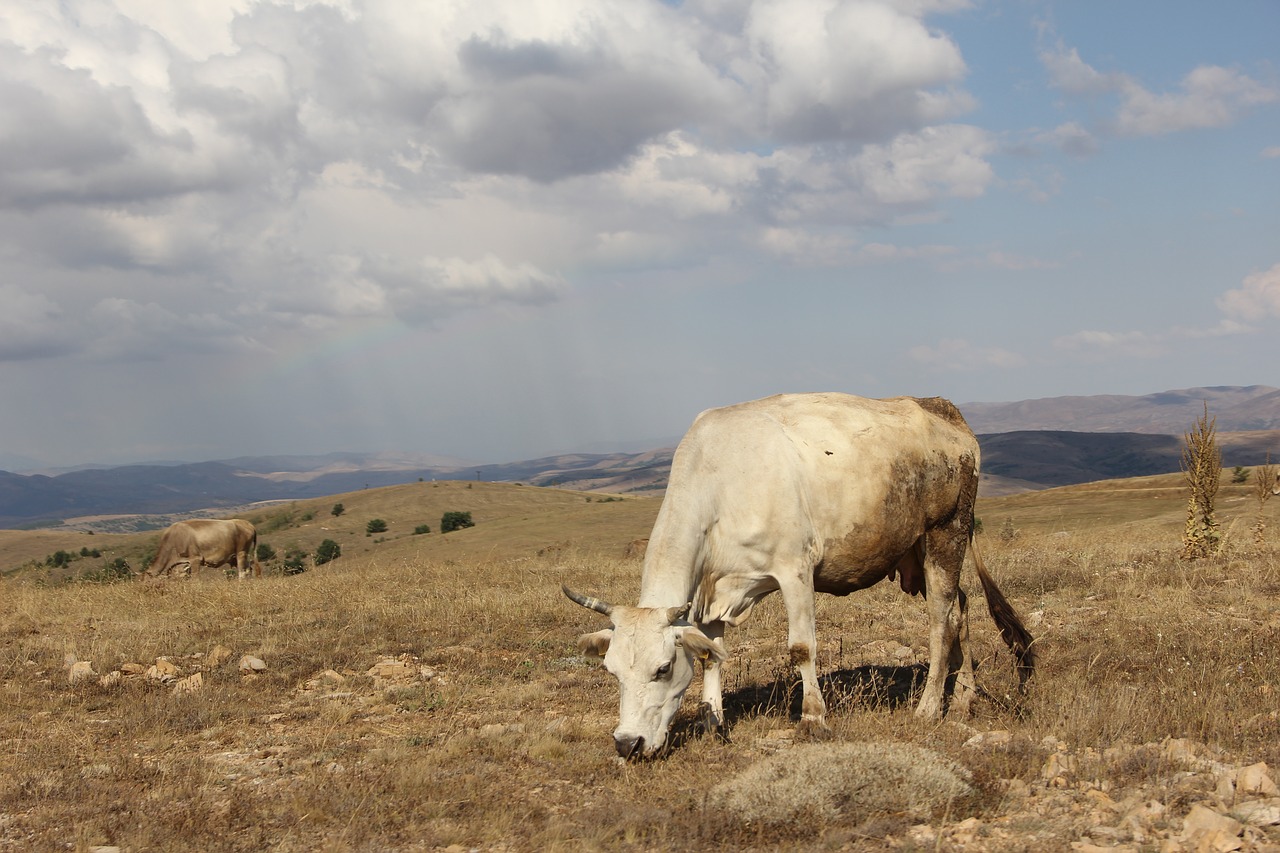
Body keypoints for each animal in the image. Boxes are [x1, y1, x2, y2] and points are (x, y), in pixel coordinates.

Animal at [565, 391, 1034, 758]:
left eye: (662, 669)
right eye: (611, 672)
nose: (628, 744)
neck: (720, 481)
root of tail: (942, 407)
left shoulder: (794, 569)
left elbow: (802, 648)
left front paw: (812, 718)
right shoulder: (717, 589)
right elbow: (713, 654)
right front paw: (713, 722)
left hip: (946, 533)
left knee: (941, 621)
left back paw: (928, 708)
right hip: (918, 552)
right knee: (962, 609)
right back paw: (963, 701)